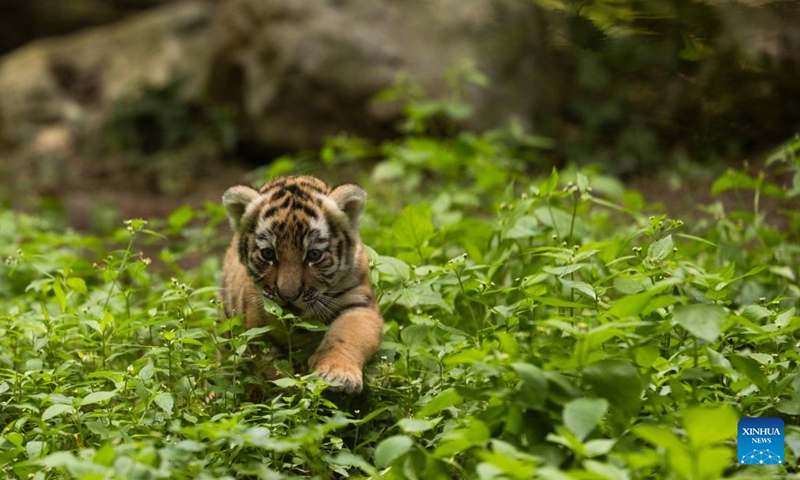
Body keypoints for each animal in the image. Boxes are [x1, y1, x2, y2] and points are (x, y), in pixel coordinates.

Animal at [220, 175, 384, 393]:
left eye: (314, 254)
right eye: (268, 254)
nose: (288, 296)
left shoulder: (359, 302)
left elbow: (347, 334)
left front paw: (338, 375)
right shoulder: (256, 319)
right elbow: (269, 364)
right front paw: (288, 387)